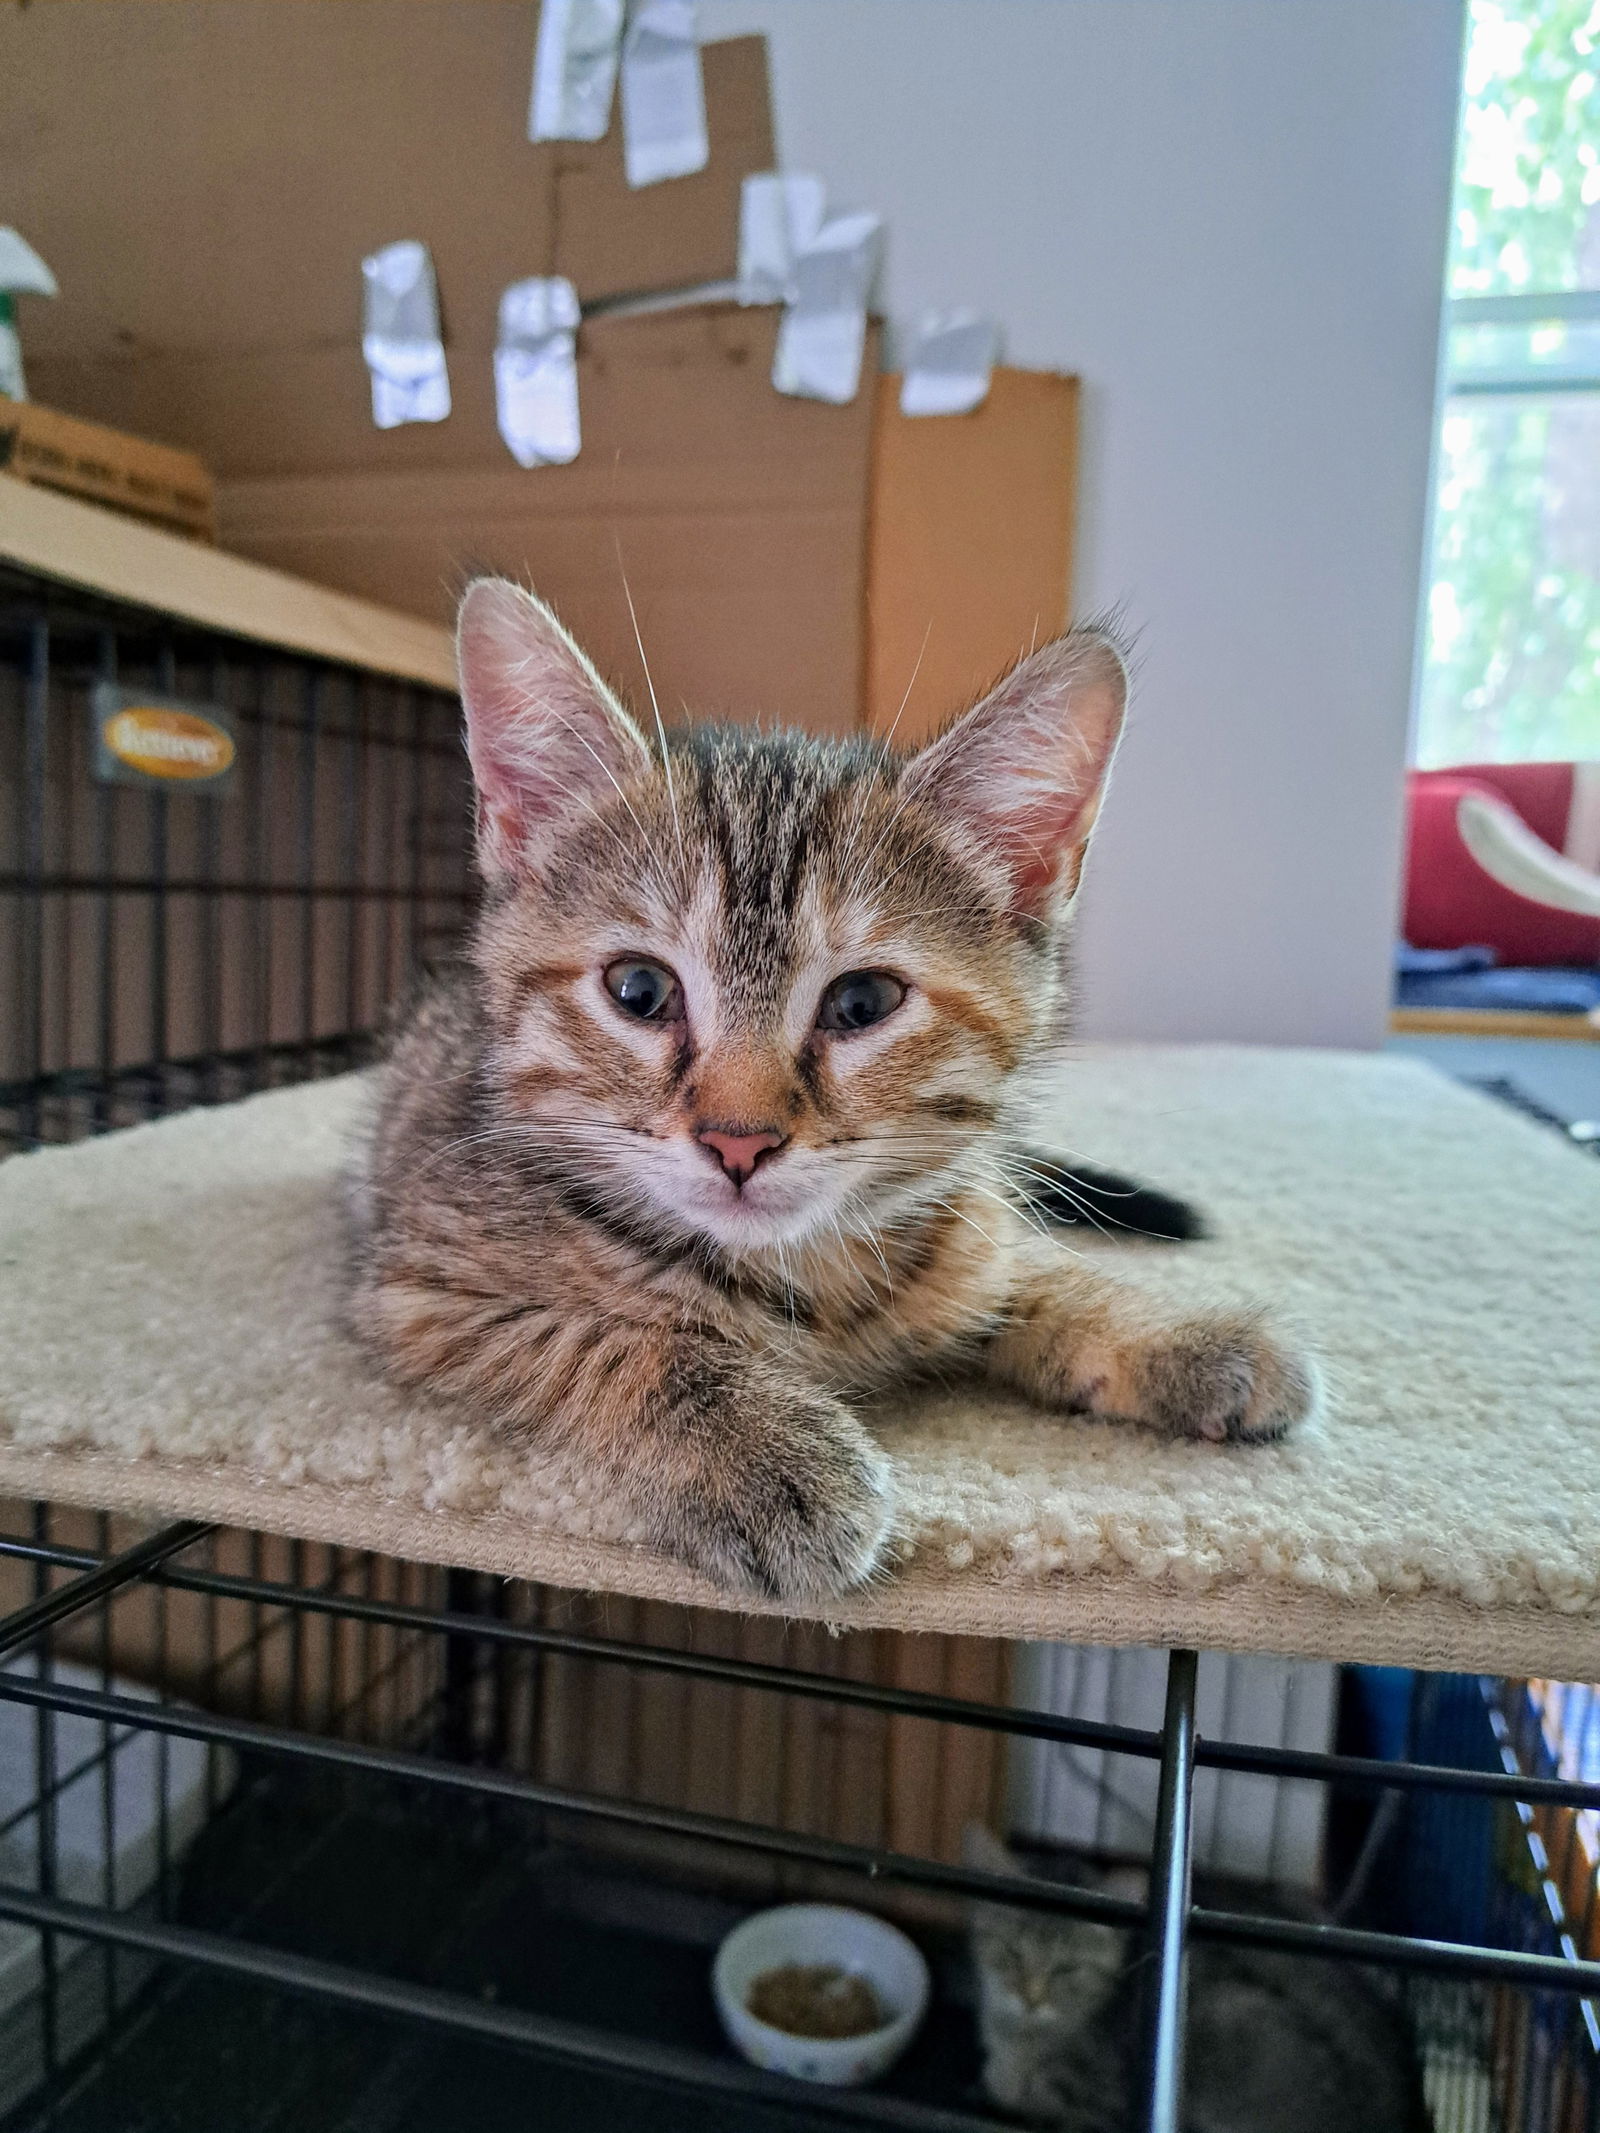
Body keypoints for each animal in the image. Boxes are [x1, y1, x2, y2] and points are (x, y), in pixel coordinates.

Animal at [347, 584, 1314, 1604]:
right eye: (639, 990)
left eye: (862, 1002)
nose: (738, 1140)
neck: (809, 1276)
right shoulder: (420, 1294)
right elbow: (620, 1341)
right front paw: (765, 1450)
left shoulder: (966, 1225)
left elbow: (1029, 1270)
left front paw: (1182, 1335)